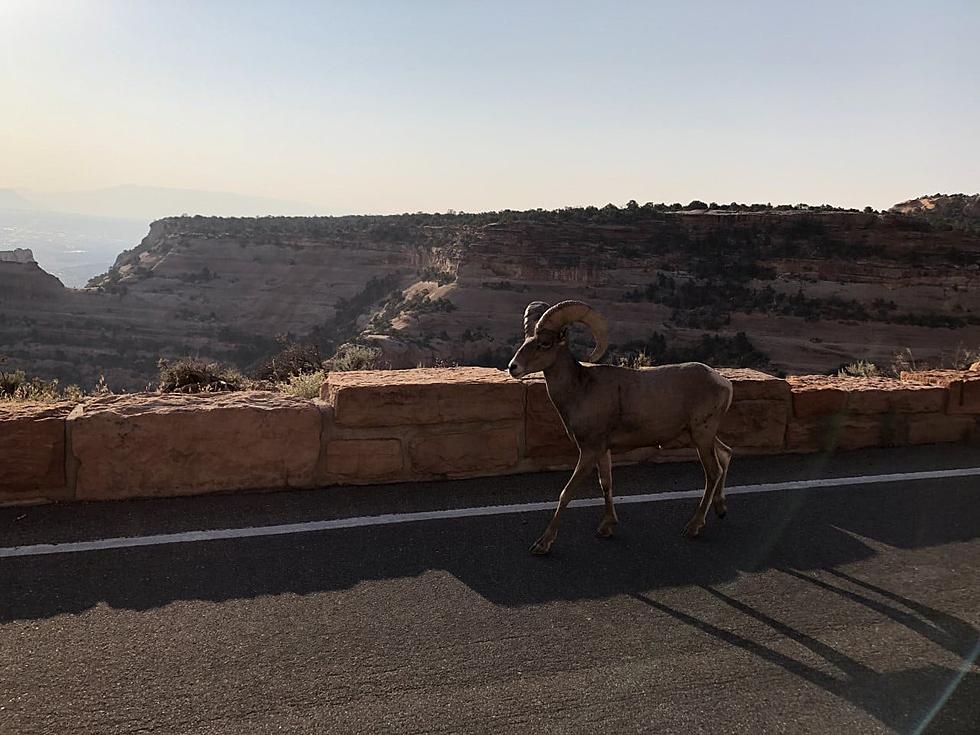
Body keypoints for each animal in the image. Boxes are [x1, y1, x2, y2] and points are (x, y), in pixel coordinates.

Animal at [510, 302, 732, 556]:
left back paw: (693, 527)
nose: (513, 367)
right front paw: (607, 527)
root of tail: (724, 383)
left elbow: (566, 493)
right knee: (726, 454)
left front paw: (543, 544)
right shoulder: (602, 451)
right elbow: (606, 483)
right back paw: (720, 509)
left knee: (713, 472)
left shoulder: (589, 451)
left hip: (702, 436)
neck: (580, 390)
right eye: (526, 339)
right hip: (697, 437)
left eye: (545, 343)